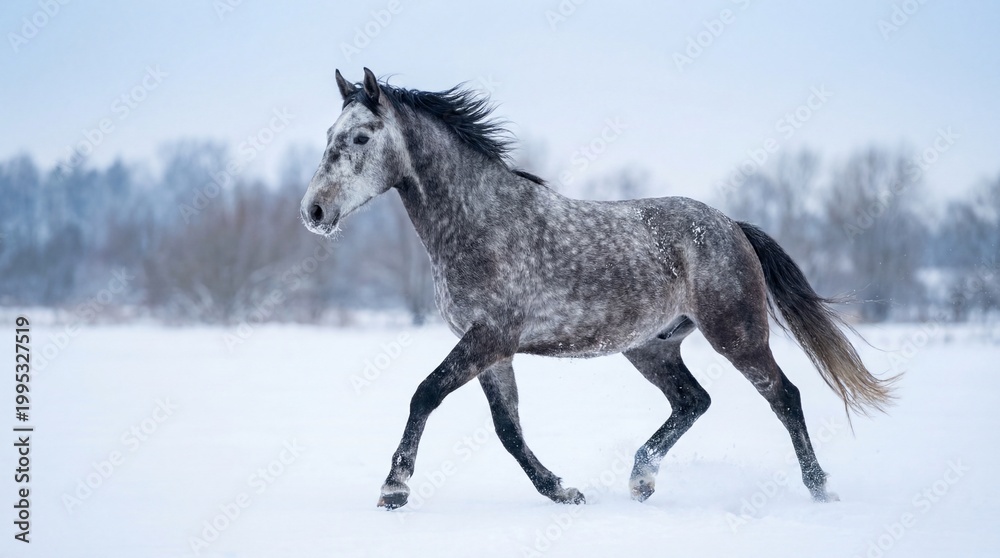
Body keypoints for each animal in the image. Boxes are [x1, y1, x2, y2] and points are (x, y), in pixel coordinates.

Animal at [299, 68, 895, 510]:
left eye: (359, 137)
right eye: (328, 138)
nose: (314, 212)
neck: (481, 222)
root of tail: (732, 226)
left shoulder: (490, 338)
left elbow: (425, 393)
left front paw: (394, 489)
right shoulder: (492, 350)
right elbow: (508, 428)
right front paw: (562, 491)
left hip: (737, 335)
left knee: (783, 396)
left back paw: (819, 489)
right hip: (651, 347)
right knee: (693, 401)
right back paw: (641, 479)